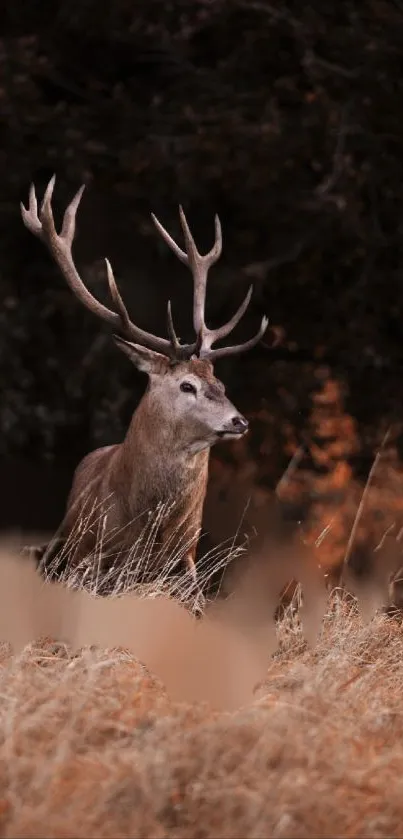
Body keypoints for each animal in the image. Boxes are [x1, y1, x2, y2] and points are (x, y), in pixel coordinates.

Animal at [19, 177, 272, 612]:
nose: (239, 421)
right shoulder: (91, 556)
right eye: (186, 385)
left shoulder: (185, 563)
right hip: (60, 542)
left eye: (221, 385)